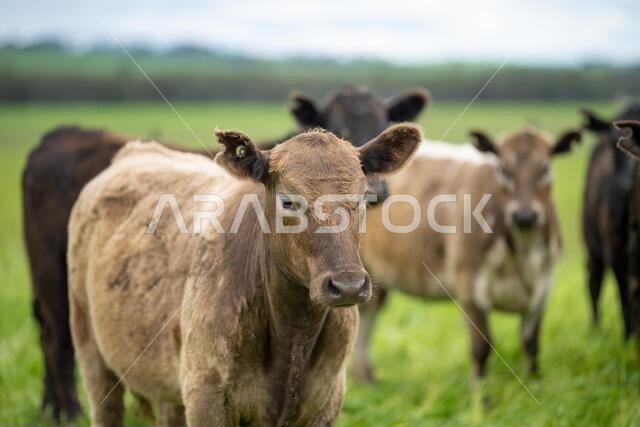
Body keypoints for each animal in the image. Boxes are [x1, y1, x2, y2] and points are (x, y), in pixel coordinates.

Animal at [21, 85, 429, 420]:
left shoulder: (325, 402)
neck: (292, 337)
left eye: (360, 198)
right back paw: (65, 412)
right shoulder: (206, 396)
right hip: (84, 335)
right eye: (288, 200)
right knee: (59, 344)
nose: (347, 285)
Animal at [353, 126, 581, 381]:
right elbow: (481, 348)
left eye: (545, 168)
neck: (523, 256)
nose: (525, 215)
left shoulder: (542, 289)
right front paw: (480, 392)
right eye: (503, 169)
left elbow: (531, 345)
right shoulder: (469, 287)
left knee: (369, 314)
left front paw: (533, 382)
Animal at [580, 104, 640, 338]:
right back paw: (595, 332)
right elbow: (625, 300)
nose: (624, 186)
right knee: (594, 282)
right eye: (615, 149)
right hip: (591, 244)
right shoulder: (615, 251)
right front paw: (629, 341)